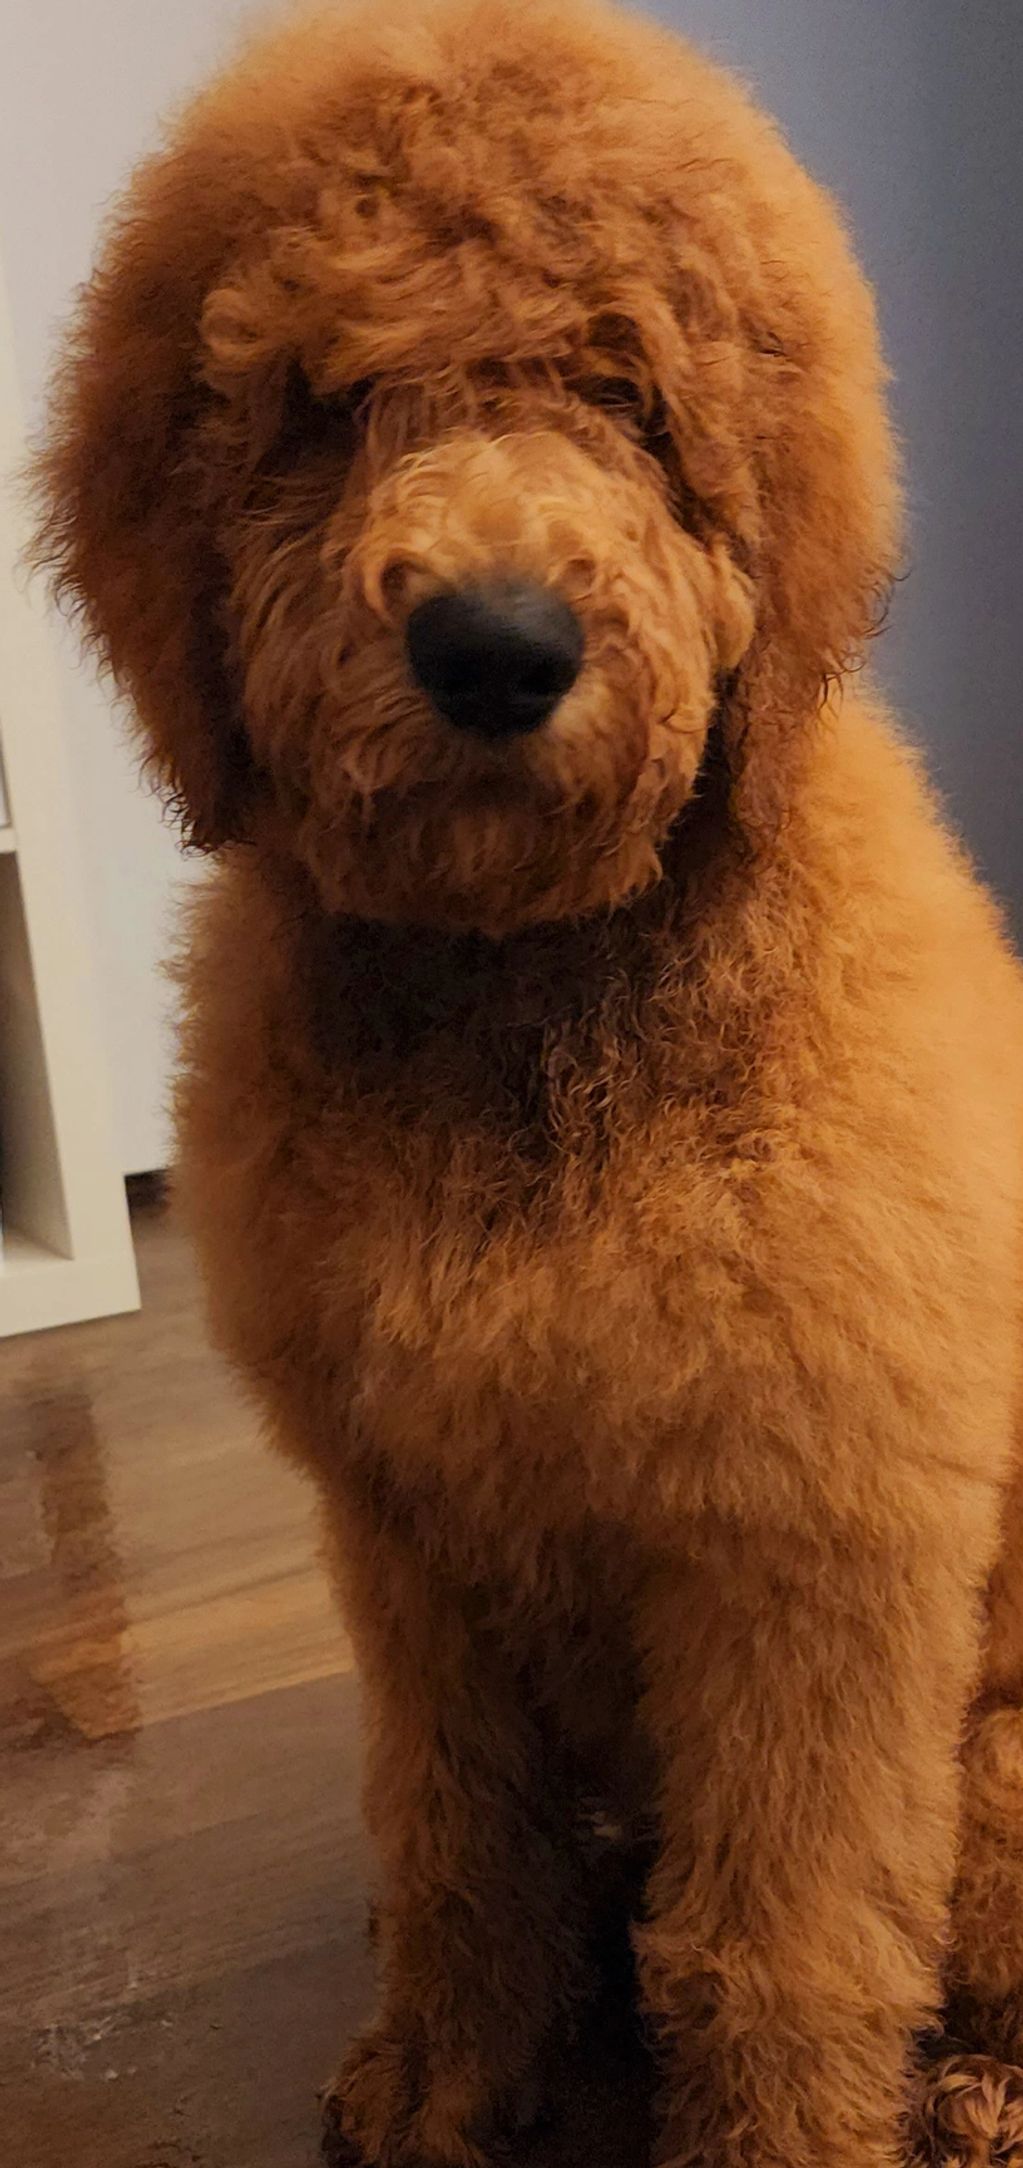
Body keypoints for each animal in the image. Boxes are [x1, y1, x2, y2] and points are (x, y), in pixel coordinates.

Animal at [29, 4, 1023, 2168]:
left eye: (629, 399)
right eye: (324, 400)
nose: (495, 646)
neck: (528, 1018)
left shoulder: (804, 1558)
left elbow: (782, 1935)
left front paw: (780, 2140)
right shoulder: (411, 1535)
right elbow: (455, 1839)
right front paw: (447, 2075)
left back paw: (972, 2091)